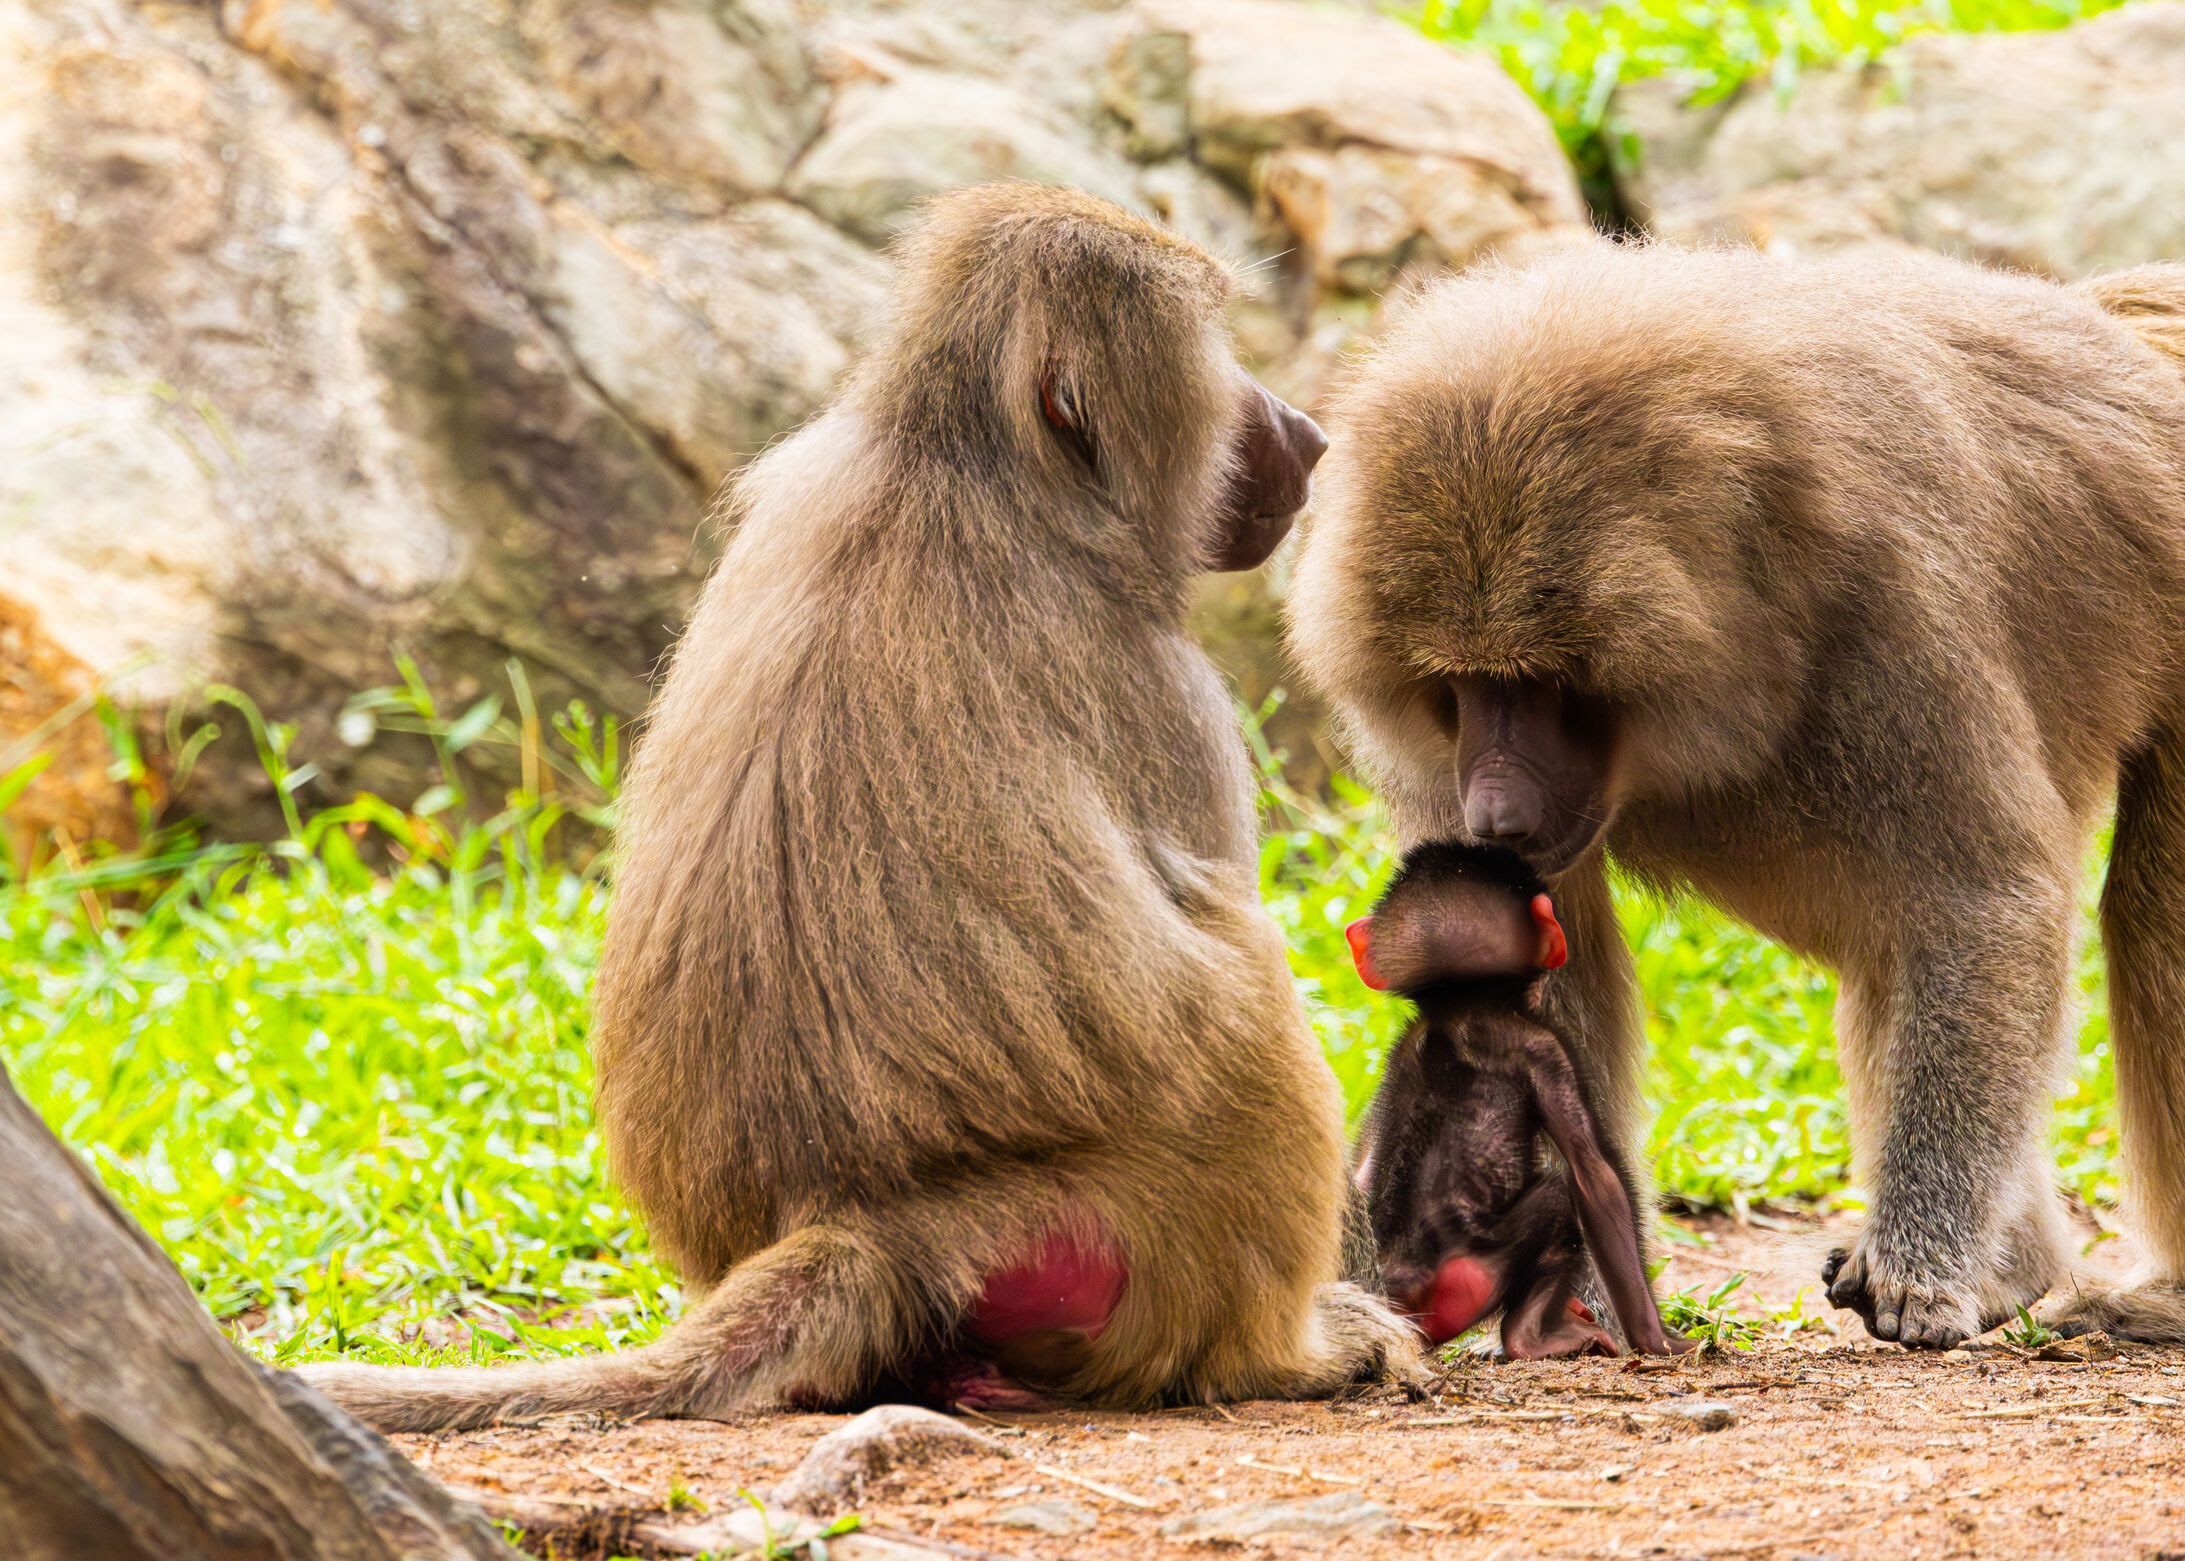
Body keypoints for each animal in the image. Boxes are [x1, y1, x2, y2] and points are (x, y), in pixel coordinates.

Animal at [295, 185, 1416, 1433]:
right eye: (1218, 350)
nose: (1305, 433)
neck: (968, 462)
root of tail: (867, 1219)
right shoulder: (1168, 687)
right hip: (1141, 1226)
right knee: (1241, 979)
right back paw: (1286, 1353)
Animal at [1346, 839, 1685, 1357]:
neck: (1458, 1003)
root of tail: (1401, 1275)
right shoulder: (1544, 1050)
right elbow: (1595, 1177)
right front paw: (1658, 1338)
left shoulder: (1397, 1052)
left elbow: (1363, 1164)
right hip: (1470, 1277)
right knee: (1560, 1196)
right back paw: (1531, 1336)